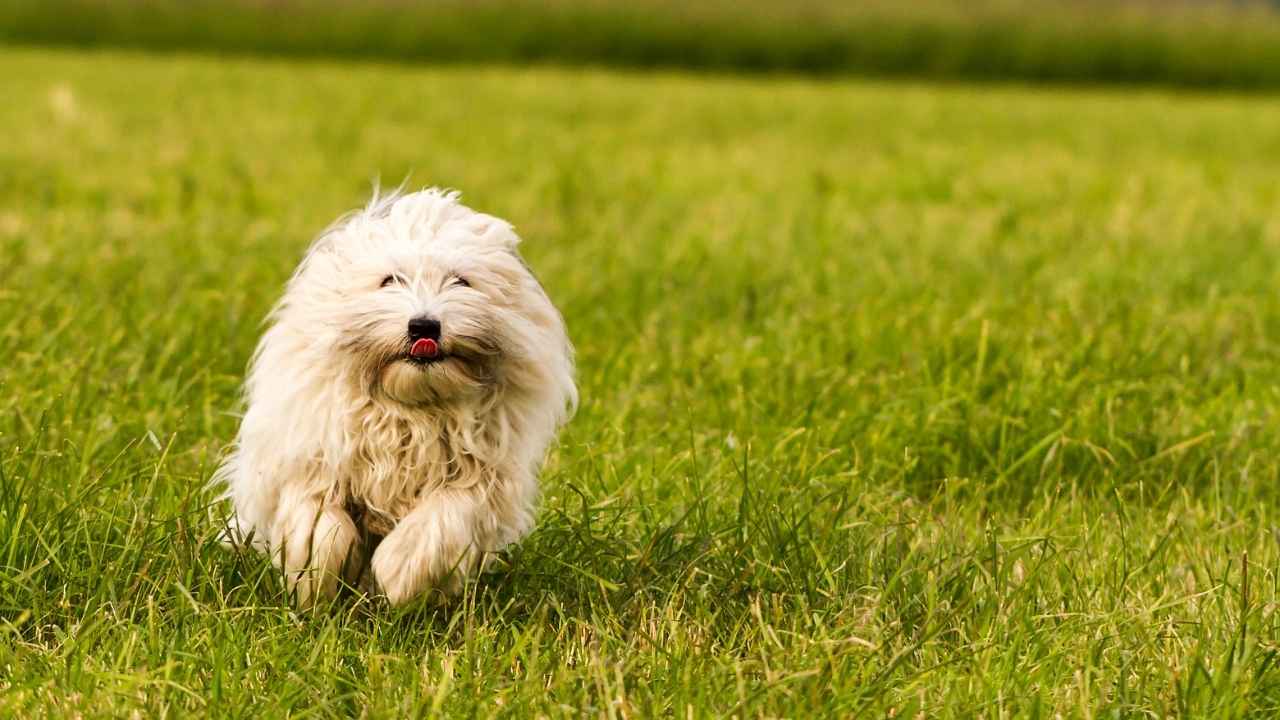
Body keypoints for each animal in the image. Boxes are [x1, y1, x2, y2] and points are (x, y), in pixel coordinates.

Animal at [217, 188, 578, 602]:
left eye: (461, 282)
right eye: (390, 280)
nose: (424, 326)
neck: (410, 408)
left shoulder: (481, 477)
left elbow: (442, 517)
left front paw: (399, 572)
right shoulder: (310, 453)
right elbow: (319, 517)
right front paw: (313, 577)